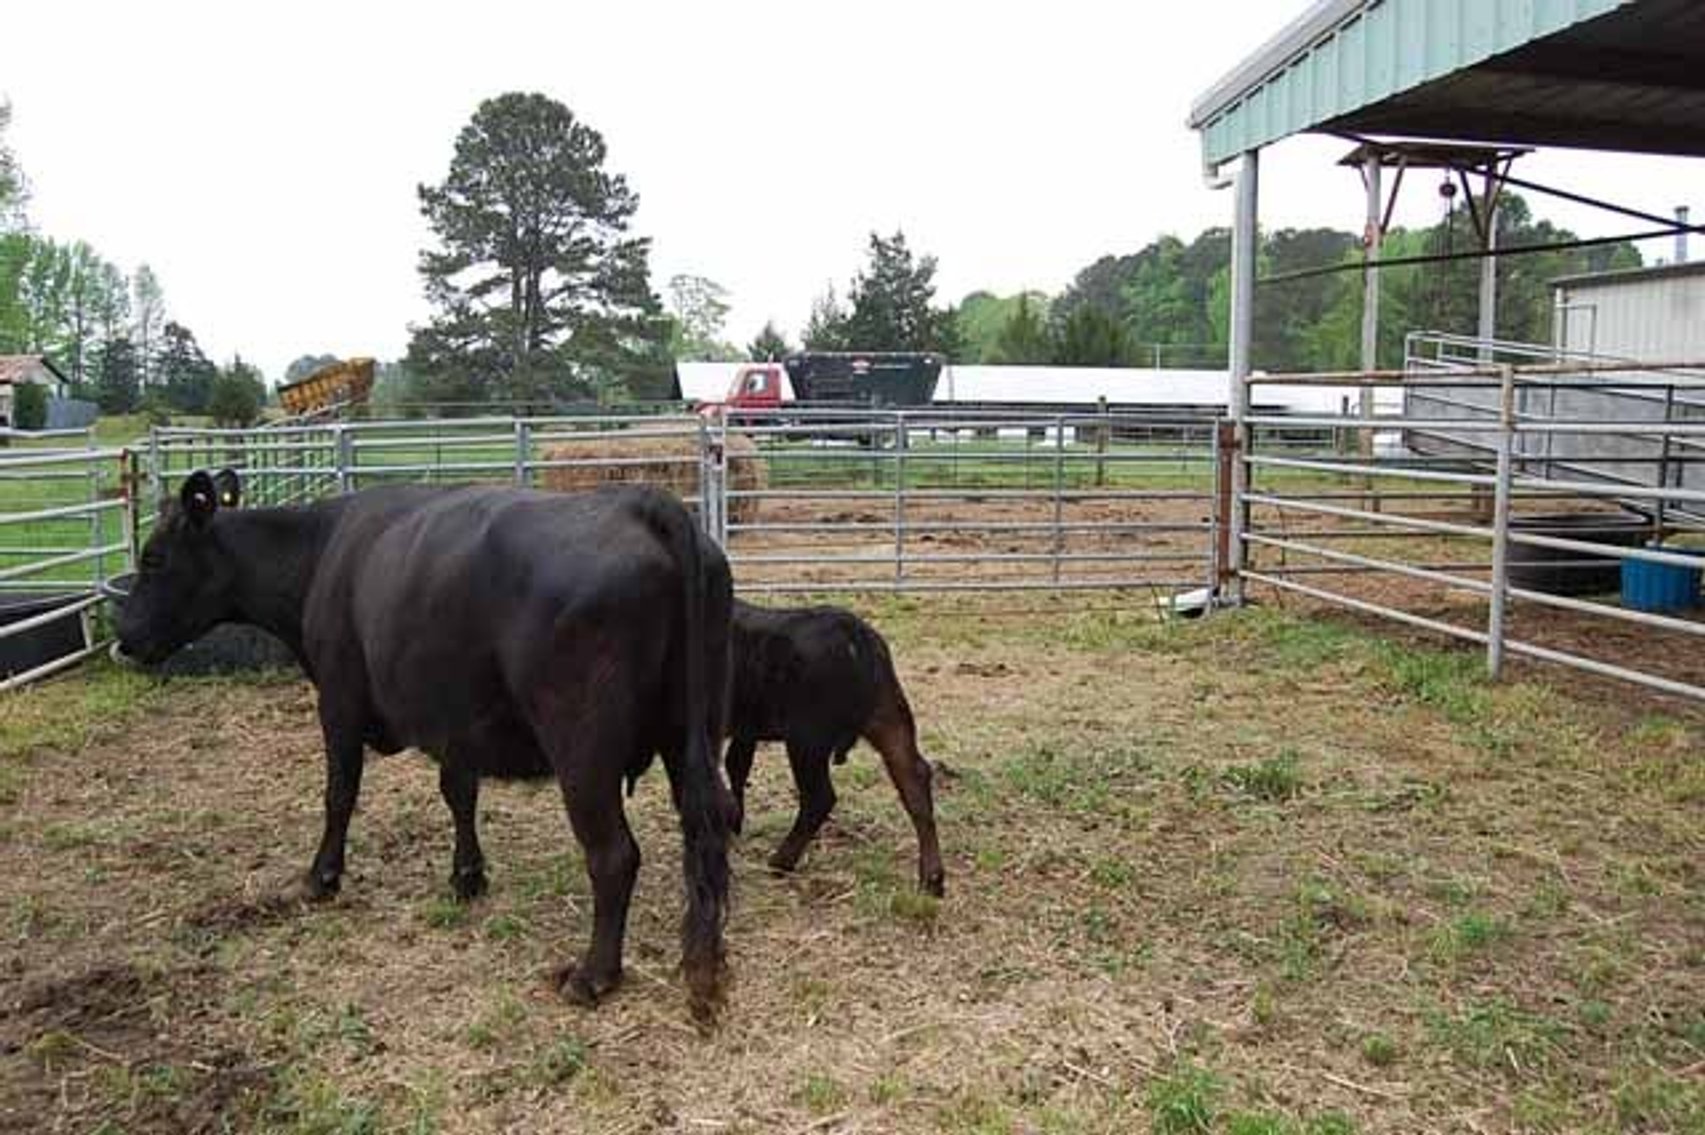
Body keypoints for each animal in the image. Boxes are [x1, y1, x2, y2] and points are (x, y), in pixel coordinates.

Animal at [113, 469, 735, 1022]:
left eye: (154, 558)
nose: (123, 640)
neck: (321, 551)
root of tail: (642, 504)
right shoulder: (455, 719)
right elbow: (458, 793)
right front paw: (467, 877)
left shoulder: (338, 700)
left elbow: (339, 794)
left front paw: (322, 877)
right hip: (692, 733)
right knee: (706, 828)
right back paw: (705, 957)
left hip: (582, 748)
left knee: (613, 855)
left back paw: (593, 974)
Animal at [722, 599, 944, 897]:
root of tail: (855, 632)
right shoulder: (745, 729)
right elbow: (736, 766)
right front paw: (734, 823)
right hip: (889, 719)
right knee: (913, 778)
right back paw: (932, 879)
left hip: (806, 739)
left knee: (819, 797)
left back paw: (781, 861)